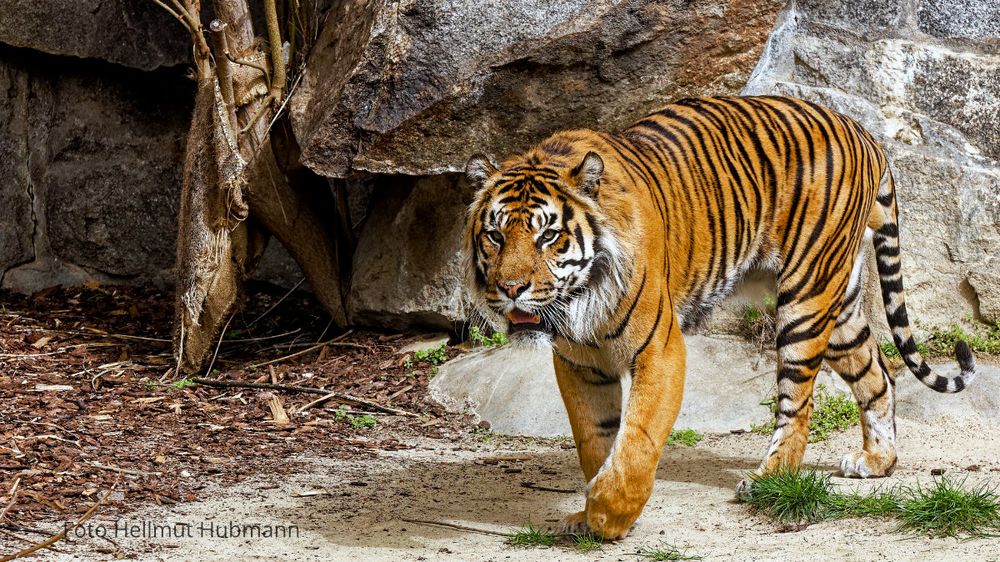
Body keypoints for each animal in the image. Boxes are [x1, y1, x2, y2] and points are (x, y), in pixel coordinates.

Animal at [464, 94, 980, 536]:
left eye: (547, 236)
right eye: (494, 235)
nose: (511, 289)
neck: (579, 302)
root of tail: (863, 132)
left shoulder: (659, 349)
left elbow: (637, 436)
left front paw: (609, 514)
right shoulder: (579, 363)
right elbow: (595, 438)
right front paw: (589, 510)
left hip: (807, 297)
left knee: (798, 403)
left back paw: (769, 479)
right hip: (840, 307)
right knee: (879, 375)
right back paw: (877, 461)